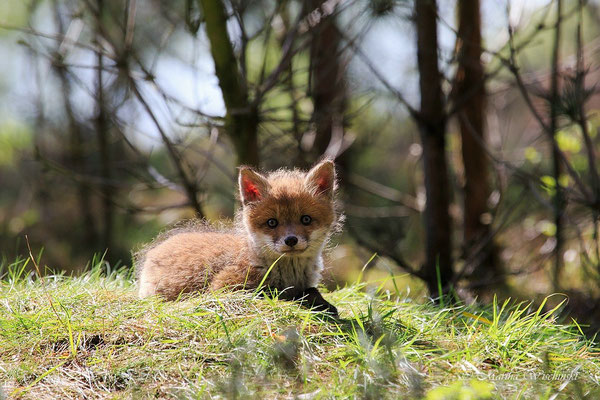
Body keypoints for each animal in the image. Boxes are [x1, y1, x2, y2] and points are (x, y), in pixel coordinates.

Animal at [137, 161, 342, 318]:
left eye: (306, 219)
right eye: (272, 222)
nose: (291, 240)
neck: (289, 274)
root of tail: (155, 249)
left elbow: (311, 290)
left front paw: (323, 304)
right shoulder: (224, 287)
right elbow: (276, 293)